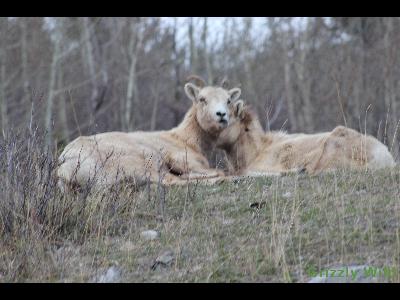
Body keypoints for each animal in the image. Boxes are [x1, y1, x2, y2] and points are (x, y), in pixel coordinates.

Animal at [57, 75, 241, 189]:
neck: (184, 139)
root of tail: (66, 163)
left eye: (228, 100)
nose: (221, 115)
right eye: (202, 99)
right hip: (144, 163)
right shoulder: (181, 159)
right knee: (171, 181)